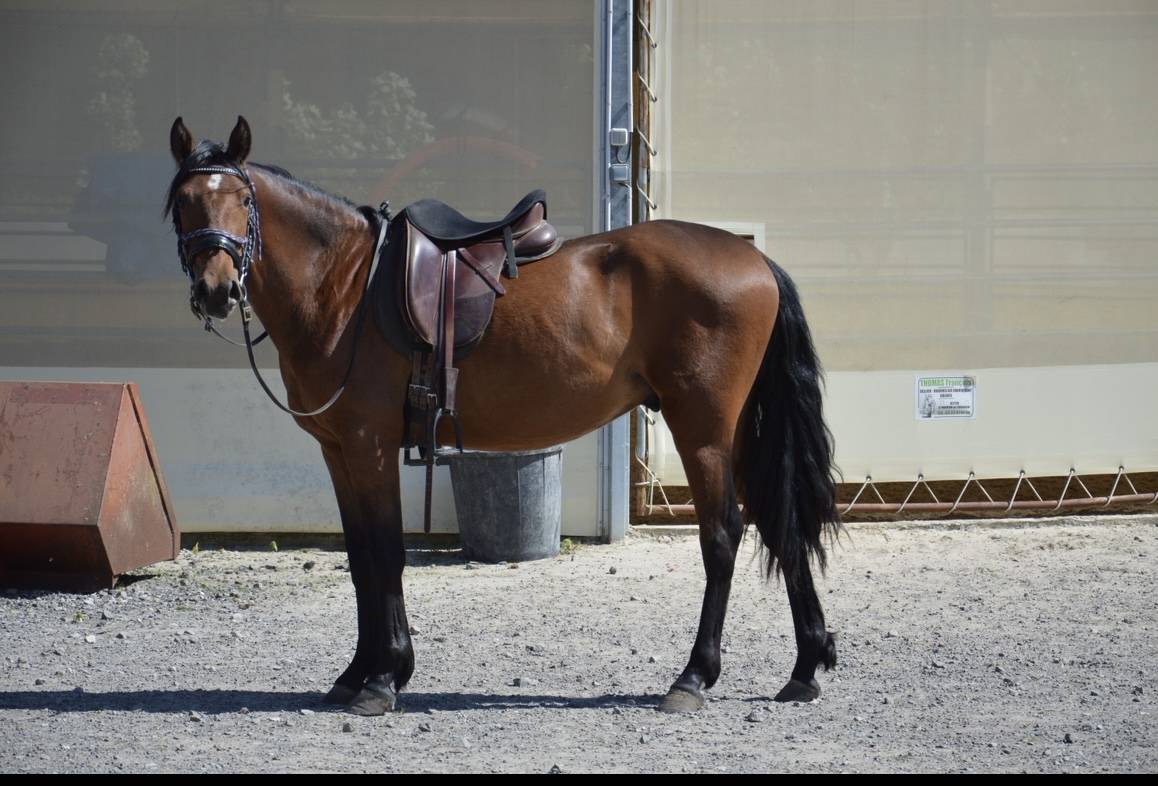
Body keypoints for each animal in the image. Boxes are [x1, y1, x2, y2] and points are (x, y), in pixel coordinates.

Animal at [164, 116, 840, 716]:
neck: (345, 286)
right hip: (740, 430)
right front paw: (357, 673)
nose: (216, 290)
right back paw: (805, 667)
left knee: (723, 535)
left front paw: (383, 679)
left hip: (702, 429)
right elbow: (359, 560)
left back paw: (693, 678)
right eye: (184, 203)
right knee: (779, 523)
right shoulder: (339, 451)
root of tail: (755, 264)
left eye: (242, 199)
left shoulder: (368, 446)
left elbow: (385, 554)